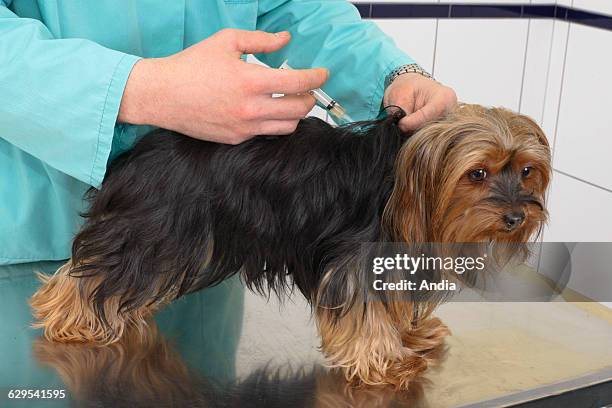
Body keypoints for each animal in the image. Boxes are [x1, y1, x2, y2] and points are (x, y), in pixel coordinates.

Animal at [31, 103, 552, 388]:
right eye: (477, 173)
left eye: (527, 170)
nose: (515, 216)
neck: (407, 185)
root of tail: (140, 150)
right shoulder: (356, 259)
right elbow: (365, 313)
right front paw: (384, 361)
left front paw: (410, 338)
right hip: (155, 229)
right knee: (95, 271)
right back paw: (68, 319)